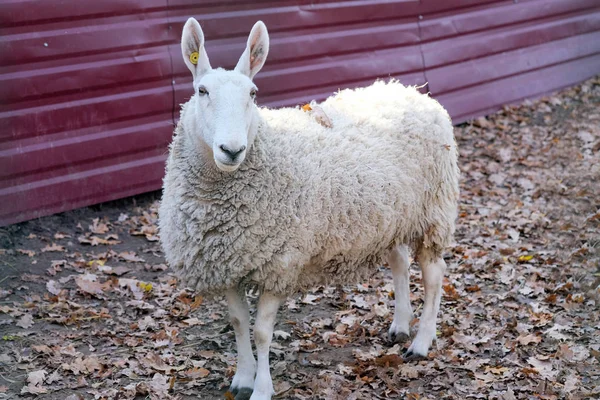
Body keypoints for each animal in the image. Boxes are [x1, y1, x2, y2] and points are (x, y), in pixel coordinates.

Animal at [159, 18, 460, 400]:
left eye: (253, 94)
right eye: (202, 91)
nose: (232, 149)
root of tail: (410, 90)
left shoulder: (280, 264)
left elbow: (261, 332)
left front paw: (261, 388)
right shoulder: (225, 263)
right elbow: (238, 323)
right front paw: (242, 378)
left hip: (433, 209)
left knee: (434, 274)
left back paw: (421, 342)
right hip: (390, 214)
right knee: (399, 263)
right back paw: (400, 324)